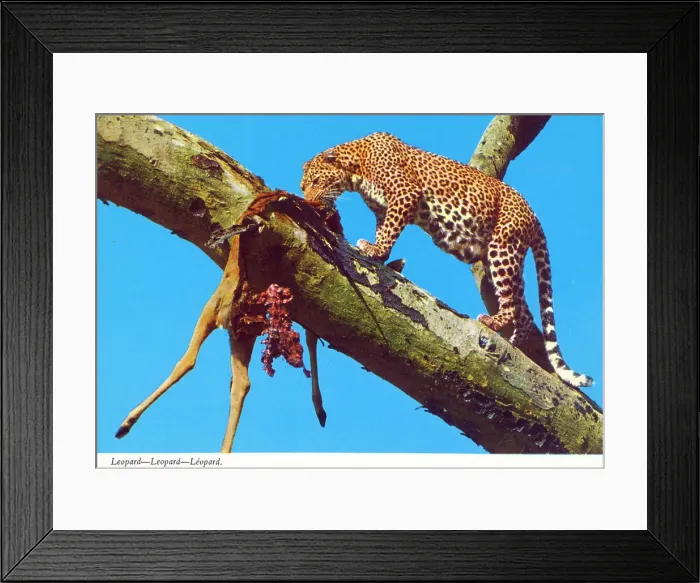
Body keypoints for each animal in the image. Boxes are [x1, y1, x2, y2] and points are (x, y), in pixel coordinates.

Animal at [300, 131, 594, 389]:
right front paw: (378, 250)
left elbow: (391, 230)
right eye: (304, 186)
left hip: (503, 248)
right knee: (523, 309)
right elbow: (385, 228)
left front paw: (376, 251)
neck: (356, 168)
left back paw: (494, 323)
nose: (307, 200)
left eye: (315, 182)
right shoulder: (384, 209)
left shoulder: (405, 194)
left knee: (512, 304)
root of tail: (533, 215)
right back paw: (512, 339)